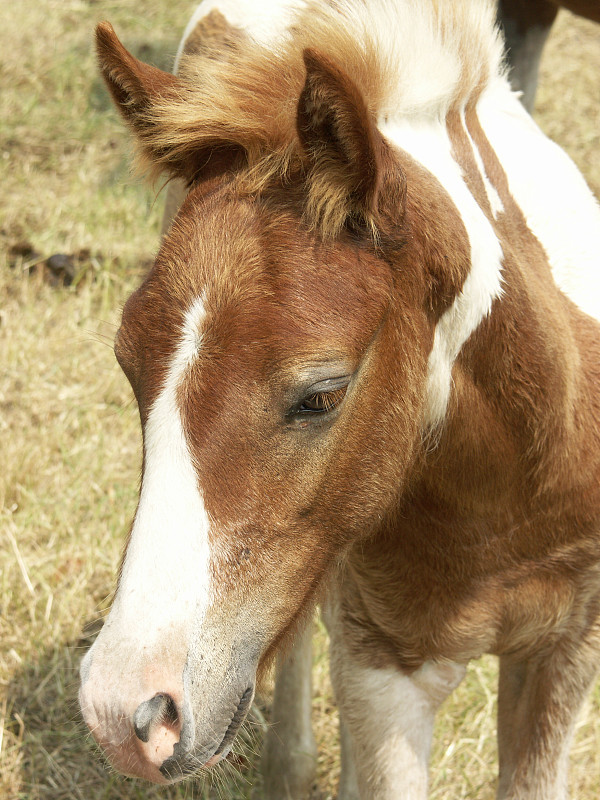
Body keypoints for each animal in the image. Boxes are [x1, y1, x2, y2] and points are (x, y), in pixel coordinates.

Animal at [77, 0, 600, 796]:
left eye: (323, 394)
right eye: (128, 367)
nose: (122, 709)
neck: (505, 492)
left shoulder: (566, 648)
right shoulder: (383, 663)